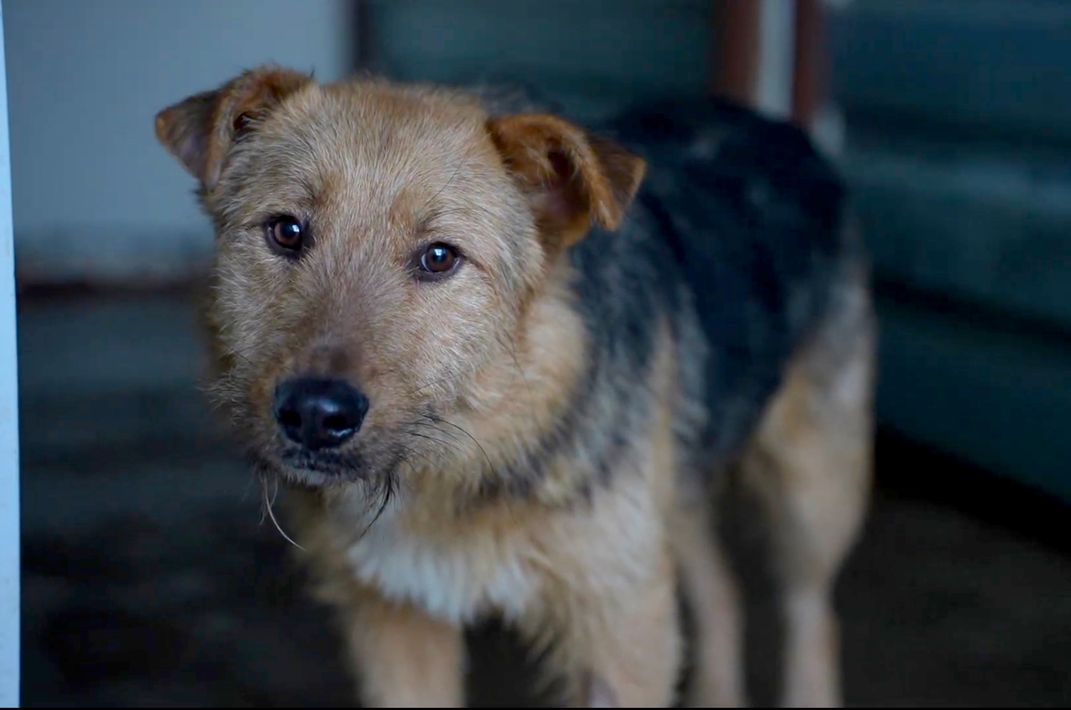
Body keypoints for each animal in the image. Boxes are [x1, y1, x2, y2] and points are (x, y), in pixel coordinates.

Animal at [155, 66, 874, 707]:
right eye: (286, 230)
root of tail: (777, 126)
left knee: (813, 611)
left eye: (439, 257)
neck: (463, 453)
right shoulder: (394, 619)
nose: (313, 414)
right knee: (723, 595)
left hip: (811, 491)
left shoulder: (619, 622)